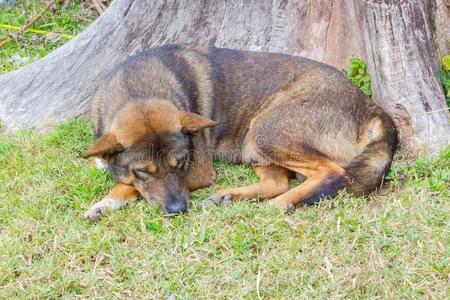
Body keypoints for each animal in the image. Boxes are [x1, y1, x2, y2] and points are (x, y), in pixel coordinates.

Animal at [81, 44, 398, 220]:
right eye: (143, 171)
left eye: (181, 164)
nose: (178, 209)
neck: (137, 89)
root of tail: (370, 106)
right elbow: (116, 172)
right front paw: (105, 203)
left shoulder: (200, 172)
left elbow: (129, 185)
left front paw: (110, 198)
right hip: (253, 144)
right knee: (277, 182)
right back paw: (230, 196)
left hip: (266, 130)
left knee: (330, 172)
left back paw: (279, 206)